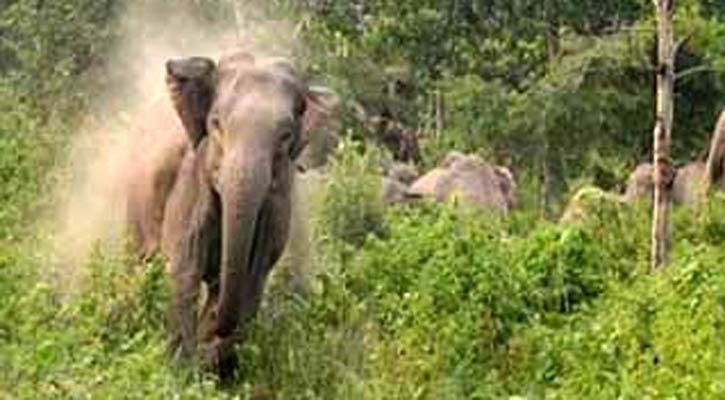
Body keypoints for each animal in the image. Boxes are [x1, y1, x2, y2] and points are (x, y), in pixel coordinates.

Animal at [129, 51, 332, 376]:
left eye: (285, 136)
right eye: (216, 124)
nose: (211, 335)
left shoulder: (275, 206)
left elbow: (252, 279)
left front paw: (209, 362)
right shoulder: (192, 180)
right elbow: (185, 266)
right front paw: (182, 369)